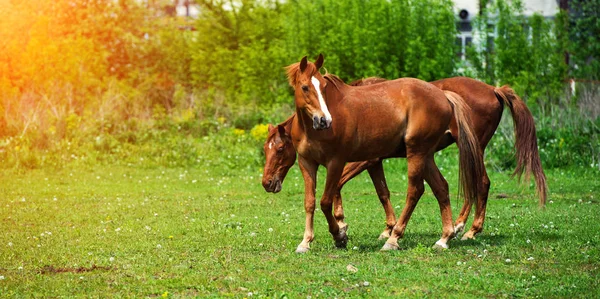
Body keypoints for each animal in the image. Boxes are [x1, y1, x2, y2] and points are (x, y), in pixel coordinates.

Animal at [262, 75, 548, 241]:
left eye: (279, 149)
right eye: (265, 149)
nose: (266, 183)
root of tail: (493, 89)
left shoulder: (364, 160)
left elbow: (341, 186)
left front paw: (342, 223)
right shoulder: (373, 161)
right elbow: (382, 192)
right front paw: (386, 227)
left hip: (471, 148)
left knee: (481, 183)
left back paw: (467, 230)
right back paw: (457, 228)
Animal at [280, 54, 482, 253]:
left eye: (323, 87)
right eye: (305, 87)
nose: (324, 120)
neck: (310, 130)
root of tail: (443, 95)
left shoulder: (335, 163)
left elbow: (325, 202)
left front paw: (339, 236)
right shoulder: (306, 163)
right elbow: (310, 202)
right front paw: (305, 242)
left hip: (416, 152)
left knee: (415, 191)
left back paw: (393, 239)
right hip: (426, 155)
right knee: (441, 187)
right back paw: (444, 238)